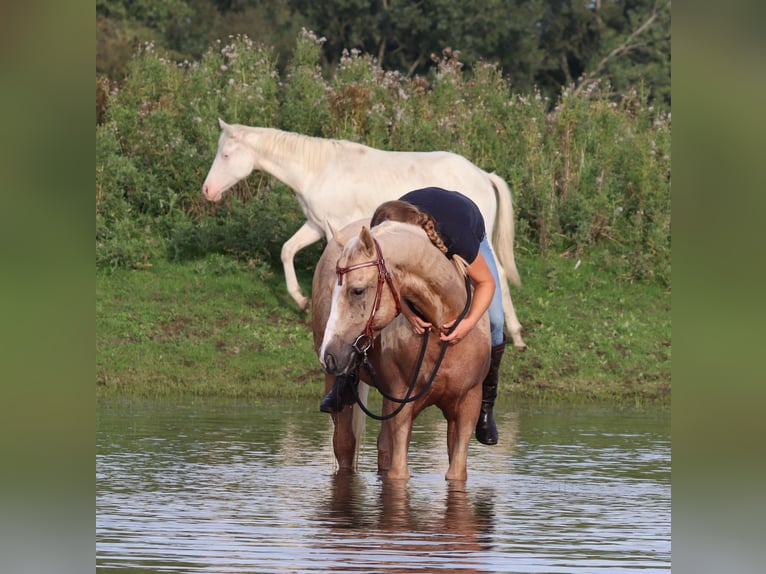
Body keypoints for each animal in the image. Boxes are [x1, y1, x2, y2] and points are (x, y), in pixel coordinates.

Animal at [202, 121, 528, 352]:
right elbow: (287, 250)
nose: (208, 191)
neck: (318, 170)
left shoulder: (335, 230)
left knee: (497, 275)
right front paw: (300, 300)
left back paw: (515, 334)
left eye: (226, 155)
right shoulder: (315, 224)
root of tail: (484, 175)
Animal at [312, 220, 492, 482]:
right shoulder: (401, 403)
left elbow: (455, 472)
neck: (442, 326)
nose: (329, 355)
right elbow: (398, 473)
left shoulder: (466, 407)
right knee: (345, 445)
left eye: (357, 290)